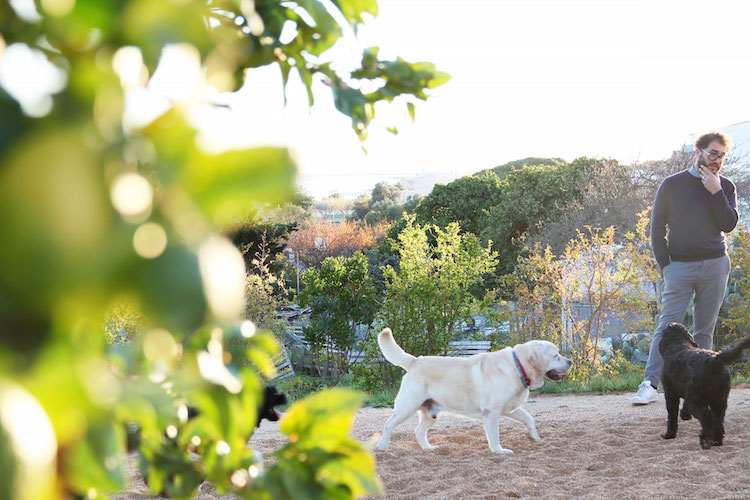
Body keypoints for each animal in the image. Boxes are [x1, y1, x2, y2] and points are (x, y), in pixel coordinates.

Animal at [378, 326, 572, 456]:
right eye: (556, 356)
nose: (570, 361)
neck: (518, 367)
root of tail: (415, 361)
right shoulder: (491, 412)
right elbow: (494, 435)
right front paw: (499, 450)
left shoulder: (509, 408)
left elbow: (529, 418)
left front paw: (534, 437)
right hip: (407, 407)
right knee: (388, 424)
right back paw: (382, 446)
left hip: (431, 412)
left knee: (418, 431)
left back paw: (428, 448)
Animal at [656, 322, 750, 452]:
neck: (679, 345)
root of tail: (714, 360)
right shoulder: (688, 393)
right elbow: (684, 405)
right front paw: (685, 415)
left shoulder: (670, 393)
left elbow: (672, 416)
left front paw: (669, 435)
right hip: (719, 399)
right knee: (718, 419)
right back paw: (717, 440)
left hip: (698, 400)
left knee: (707, 416)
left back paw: (705, 440)